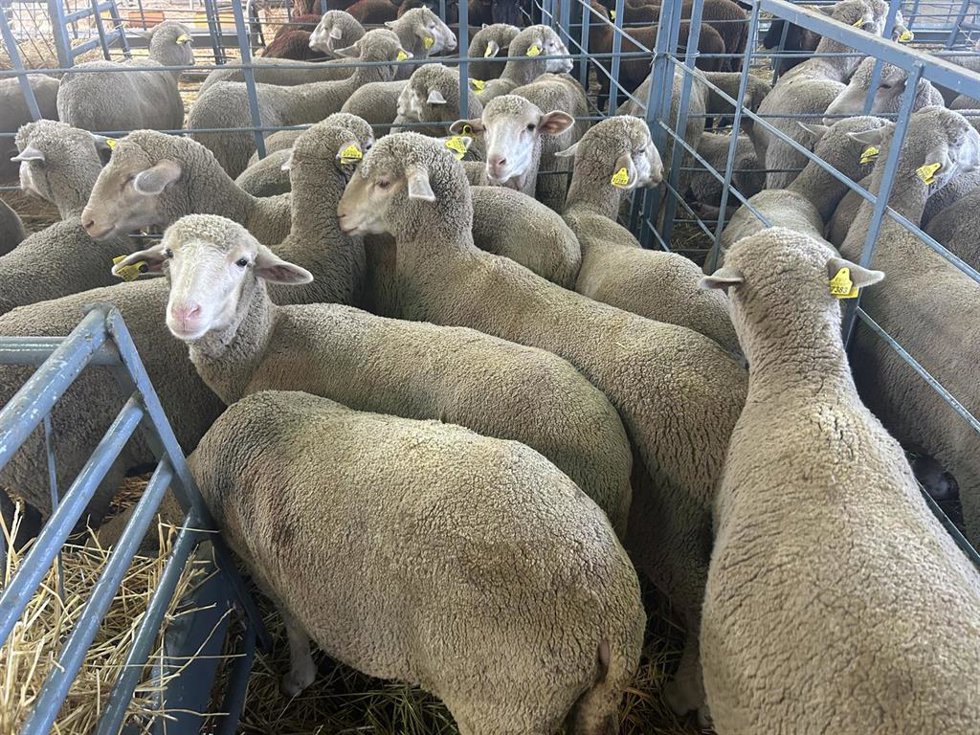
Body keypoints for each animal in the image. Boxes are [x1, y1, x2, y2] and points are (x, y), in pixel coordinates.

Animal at [189, 389, 646, 732]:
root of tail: (613, 618)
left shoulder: (270, 573)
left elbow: (296, 629)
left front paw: (296, 680)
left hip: (508, 704)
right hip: (592, 704)